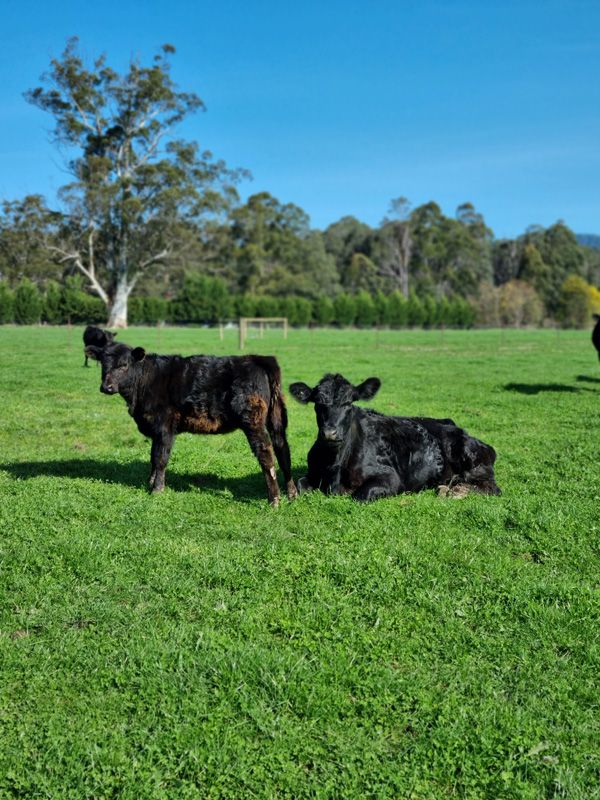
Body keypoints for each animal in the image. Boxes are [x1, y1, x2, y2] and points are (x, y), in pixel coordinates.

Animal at [84, 329, 297, 506]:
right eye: (103, 364)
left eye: (124, 365)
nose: (106, 387)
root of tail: (257, 359)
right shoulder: (156, 430)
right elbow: (153, 457)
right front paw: (149, 483)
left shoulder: (165, 427)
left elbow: (160, 458)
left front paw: (157, 489)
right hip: (276, 419)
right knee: (283, 450)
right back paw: (292, 494)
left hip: (253, 422)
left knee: (266, 453)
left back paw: (274, 499)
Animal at [289, 373, 500, 502]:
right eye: (317, 403)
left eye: (348, 403)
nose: (329, 433)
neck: (335, 464)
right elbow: (299, 486)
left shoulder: (391, 477)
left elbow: (360, 495)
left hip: (472, 461)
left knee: (492, 488)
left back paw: (455, 492)